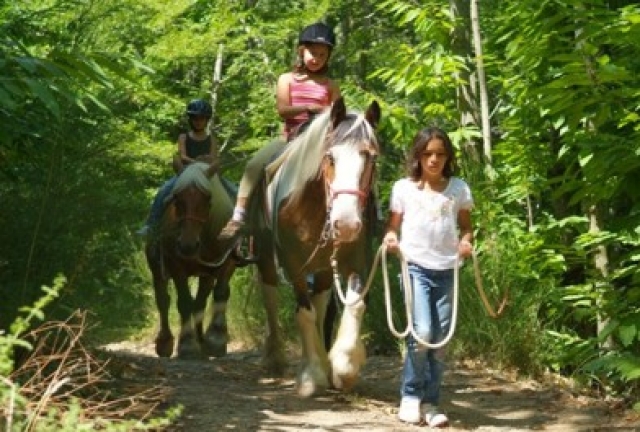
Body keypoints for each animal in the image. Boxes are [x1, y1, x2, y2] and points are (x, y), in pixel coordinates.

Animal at [144, 160, 239, 360]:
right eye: (177, 198)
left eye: (208, 199)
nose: (188, 245)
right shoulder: (177, 267)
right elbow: (184, 302)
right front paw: (187, 345)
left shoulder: (227, 262)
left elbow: (220, 293)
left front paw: (215, 340)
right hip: (157, 269)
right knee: (163, 300)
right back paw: (165, 342)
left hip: (206, 275)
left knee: (200, 303)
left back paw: (202, 342)